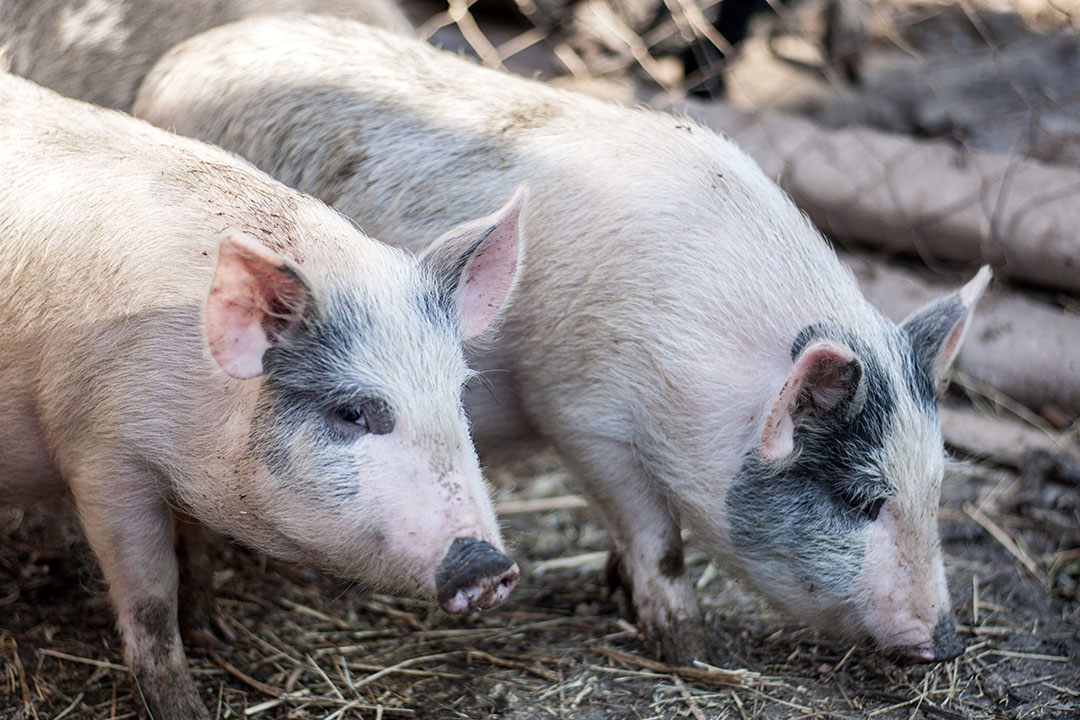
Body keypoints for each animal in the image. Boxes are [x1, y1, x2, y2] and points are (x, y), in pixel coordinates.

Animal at [0, 69, 522, 720]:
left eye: (457, 396)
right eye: (352, 412)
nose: (491, 566)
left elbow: (195, 550)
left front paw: (216, 635)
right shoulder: (100, 457)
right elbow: (150, 597)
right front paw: (188, 707)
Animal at [132, 12, 989, 664]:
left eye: (936, 485)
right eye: (859, 500)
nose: (947, 644)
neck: (699, 374)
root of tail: (175, 63)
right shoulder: (583, 416)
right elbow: (657, 536)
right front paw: (694, 651)